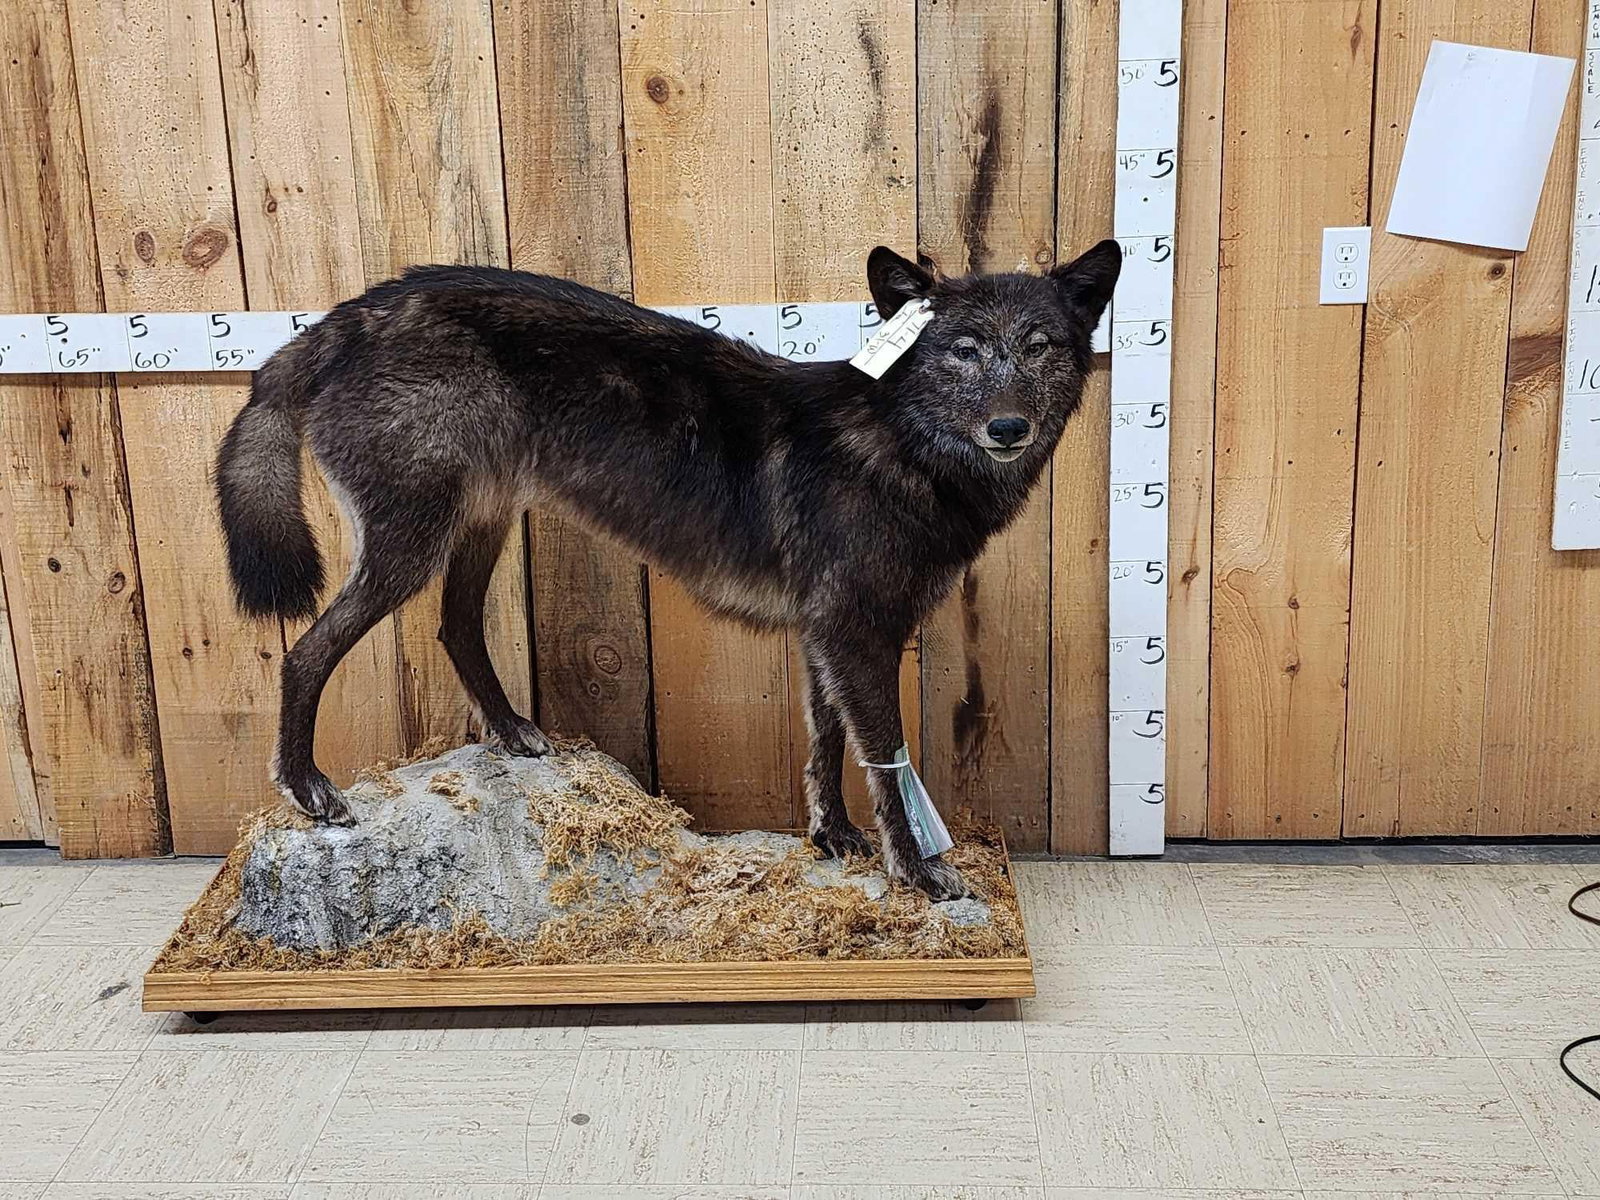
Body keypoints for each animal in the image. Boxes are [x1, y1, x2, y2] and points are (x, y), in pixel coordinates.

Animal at [215, 240, 1120, 899]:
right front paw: (919, 872)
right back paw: (309, 788)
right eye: (962, 350)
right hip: (410, 548)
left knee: (455, 625)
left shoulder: (825, 636)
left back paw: (511, 734)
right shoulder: (857, 634)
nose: (1008, 428)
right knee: (305, 652)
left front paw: (832, 838)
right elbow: (885, 762)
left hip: (476, 527)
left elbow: (825, 744)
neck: (897, 441)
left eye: (1040, 347)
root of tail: (340, 320)